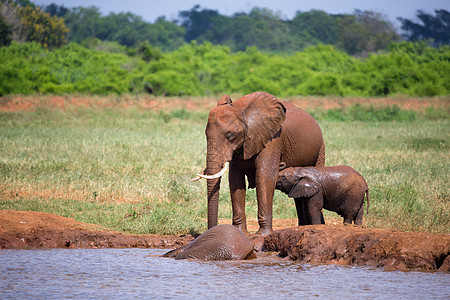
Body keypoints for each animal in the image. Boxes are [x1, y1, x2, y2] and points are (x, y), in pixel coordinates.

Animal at [192, 90, 326, 236]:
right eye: (206, 135)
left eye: (230, 135)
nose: (210, 231)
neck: (242, 110)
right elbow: (235, 180)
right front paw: (241, 232)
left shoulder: (272, 139)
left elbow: (264, 177)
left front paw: (263, 234)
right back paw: (303, 226)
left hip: (320, 149)